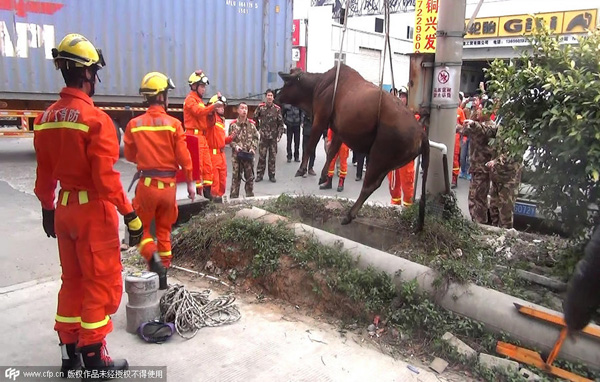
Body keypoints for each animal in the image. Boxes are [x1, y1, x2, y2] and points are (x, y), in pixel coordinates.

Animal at [274, 63, 428, 230]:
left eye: (287, 82)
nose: (276, 95)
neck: (318, 85)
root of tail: (421, 133)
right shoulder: (339, 131)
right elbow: (331, 152)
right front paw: (323, 176)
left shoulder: (320, 119)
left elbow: (310, 146)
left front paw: (302, 169)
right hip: (386, 163)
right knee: (375, 184)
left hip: (379, 156)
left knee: (369, 185)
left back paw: (349, 215)